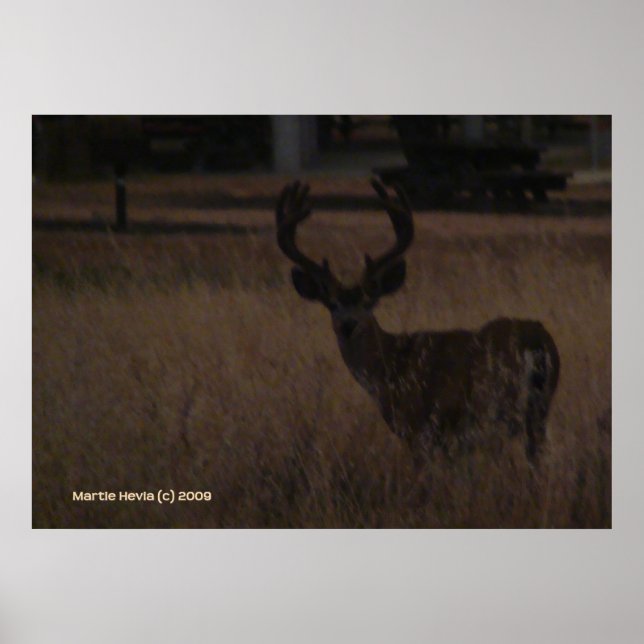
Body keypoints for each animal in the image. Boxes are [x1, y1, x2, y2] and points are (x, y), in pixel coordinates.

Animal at [275, 180, 560, 467]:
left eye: (369, 302)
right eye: (331, 304)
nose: (349, 325)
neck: (390, 365)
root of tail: (534, 341)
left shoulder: (419, 429)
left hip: (494, 409)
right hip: (539, 410)